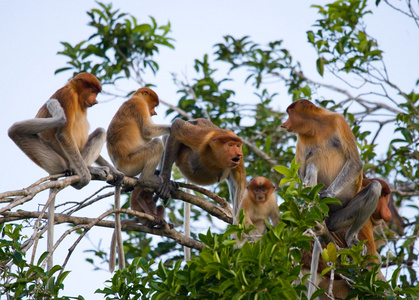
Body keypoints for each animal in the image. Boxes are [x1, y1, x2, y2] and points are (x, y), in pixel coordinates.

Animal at [7, 72, 123, 270]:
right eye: (93, 91)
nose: (95, 101)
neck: (76, 94)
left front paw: (116, 172)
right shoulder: (66, 96)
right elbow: (63, 134)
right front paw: (85, 177)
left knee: (100, 132)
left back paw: (96, 169)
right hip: (57, 161)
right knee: (15, 130)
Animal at [106, 86, 172, 272]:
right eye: (153, 105)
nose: (154, 112)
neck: (134, 98)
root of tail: (119, 167)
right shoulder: (138, 106)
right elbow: (148, 132)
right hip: (133, 162)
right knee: (156, 143)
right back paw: (147, 180)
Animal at [282, 99, 384, 298]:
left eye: (289, 114)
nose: (285, 124)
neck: (315, 127)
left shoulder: (338, 121)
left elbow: (355, 162)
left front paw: (328, 194)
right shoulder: (301, 140)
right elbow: (300, 173)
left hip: (338, 219)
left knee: (375, 187)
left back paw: (350, 237)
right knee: (312, 165)